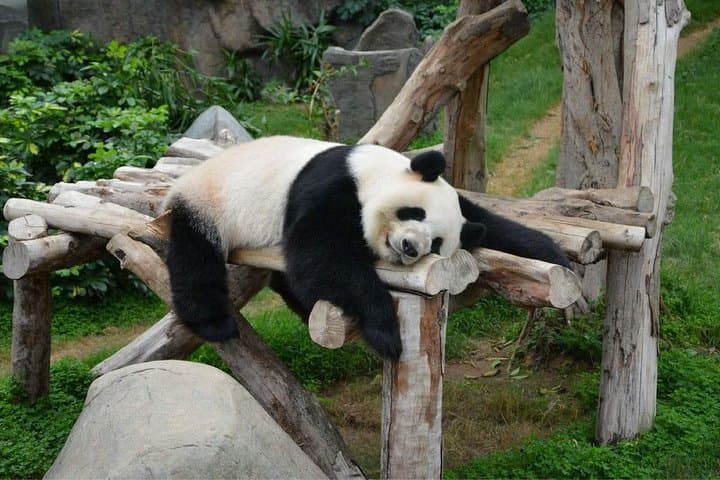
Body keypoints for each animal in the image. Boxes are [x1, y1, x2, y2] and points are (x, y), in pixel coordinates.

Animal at [164, 136, 569, 361]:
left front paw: (553, 253)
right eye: (414, 212)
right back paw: (213, 321)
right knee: (195, 258)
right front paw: (385, 332)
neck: (371, 169)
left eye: (438, 243)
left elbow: (484, 221)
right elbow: (322, 254)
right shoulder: (330, 184)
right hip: (208, 203)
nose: (410, 247)